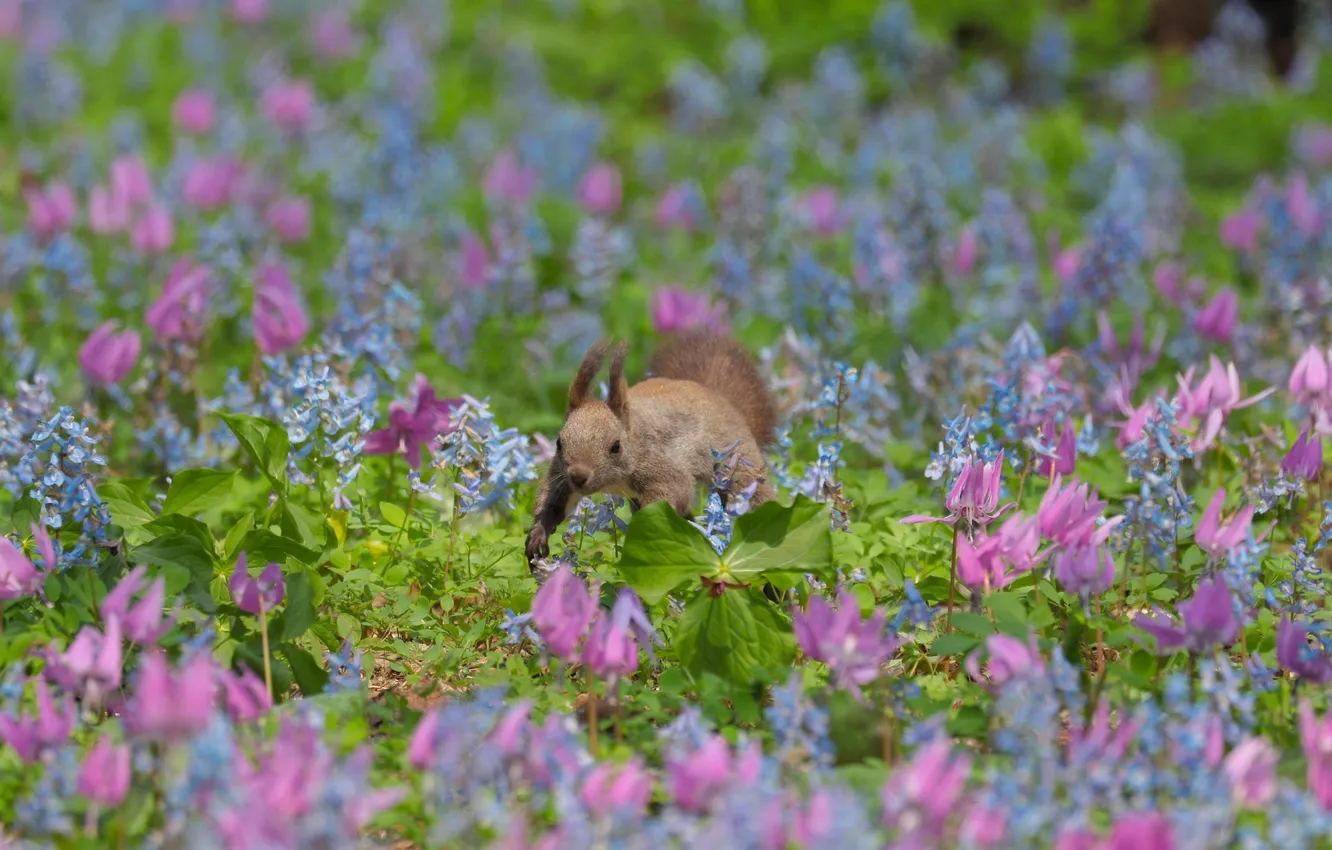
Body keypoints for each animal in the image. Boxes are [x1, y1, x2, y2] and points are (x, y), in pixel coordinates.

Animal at [522, 333, 777, 572]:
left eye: (616, 446)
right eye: (559, 442)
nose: (578, 476)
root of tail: (720, 399)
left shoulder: (660, 464)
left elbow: (672, 490)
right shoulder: (560, 475)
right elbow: (552, 499)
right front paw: (537, 534)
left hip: (739, 468)